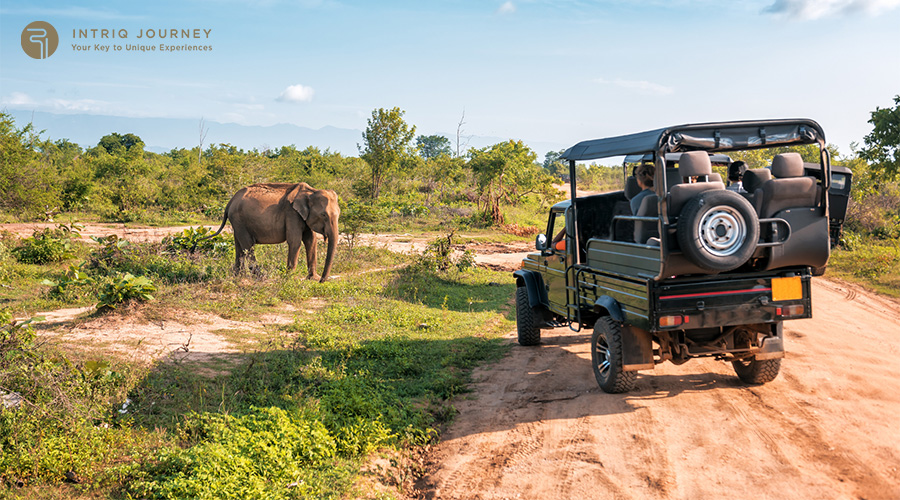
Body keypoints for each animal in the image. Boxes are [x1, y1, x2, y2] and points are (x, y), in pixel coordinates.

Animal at [204, 182, 342, 282]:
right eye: (323, 215)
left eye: (339, 214)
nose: (322, 281)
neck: (310, 191)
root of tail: (230, 202)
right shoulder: (292, 213)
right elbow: (295, 241)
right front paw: (289, 278)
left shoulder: (303, 217)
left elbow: (311, 241)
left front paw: (313, 278)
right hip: (239, 220)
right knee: (248, 245)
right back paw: (261, 276)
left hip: (237, 222)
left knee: (239, 246)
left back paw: (239, 276)